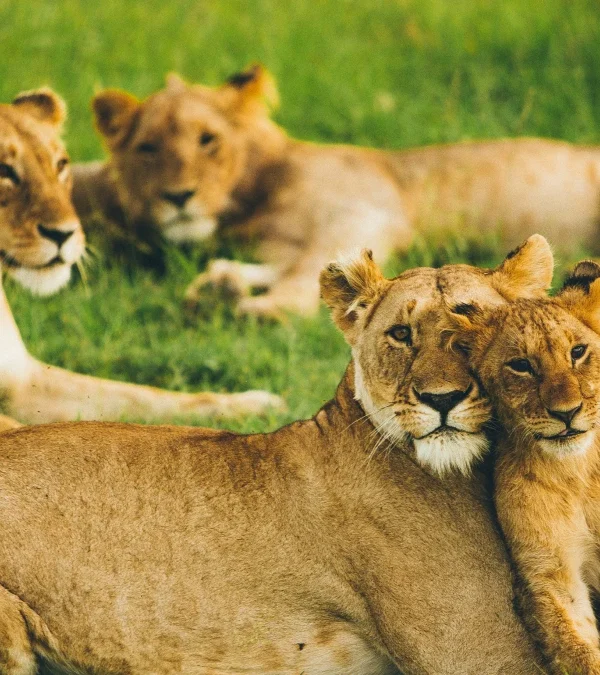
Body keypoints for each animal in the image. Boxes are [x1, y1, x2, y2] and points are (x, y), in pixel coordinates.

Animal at [0, 90, 283, 424]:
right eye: (3, 170)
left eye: (60, 164)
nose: (64, 234)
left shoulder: (25, 381)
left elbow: (145, 395)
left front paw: (257, 404)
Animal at [74, 64, 600, 318]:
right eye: (147, 148)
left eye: (208, 140)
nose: (178, 196)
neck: (254, 200)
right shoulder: (282, 243)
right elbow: (297, 266)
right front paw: (219, 287)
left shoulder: (365, 211)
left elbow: (308, 269)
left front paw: (267, 309)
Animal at [452, 261, 600, 674]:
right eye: (521, 366)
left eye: (578, 351)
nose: (566, 413)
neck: (577, 473)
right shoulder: (548, 574)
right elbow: (578, 648)